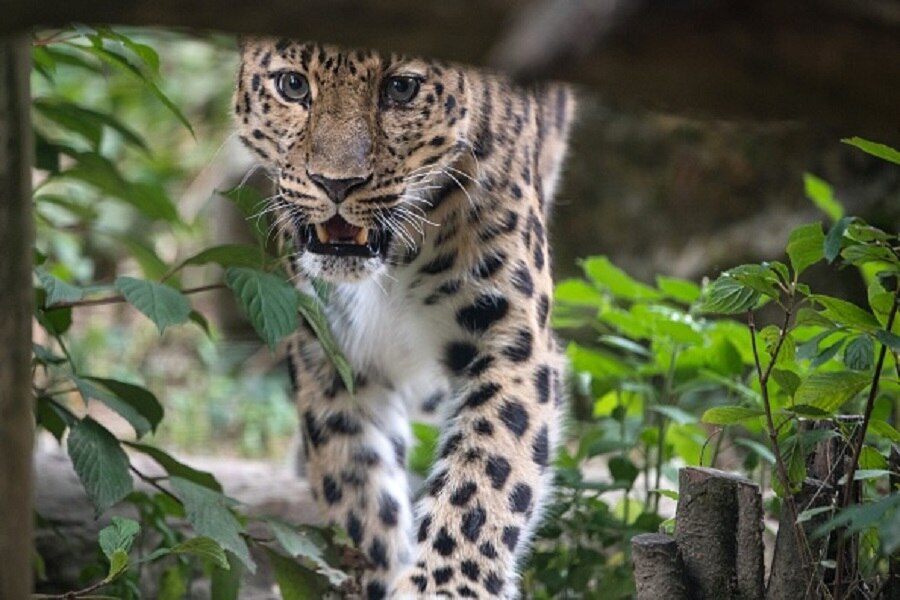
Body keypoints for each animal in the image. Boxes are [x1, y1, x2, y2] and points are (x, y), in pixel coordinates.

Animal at [234, 37, 575, 599]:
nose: (336, 184)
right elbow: (359, 496)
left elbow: (487, 470)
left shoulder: (513, 339)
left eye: (400, 88)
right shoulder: (331, 356)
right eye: (293, 85)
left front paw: (444, 586)